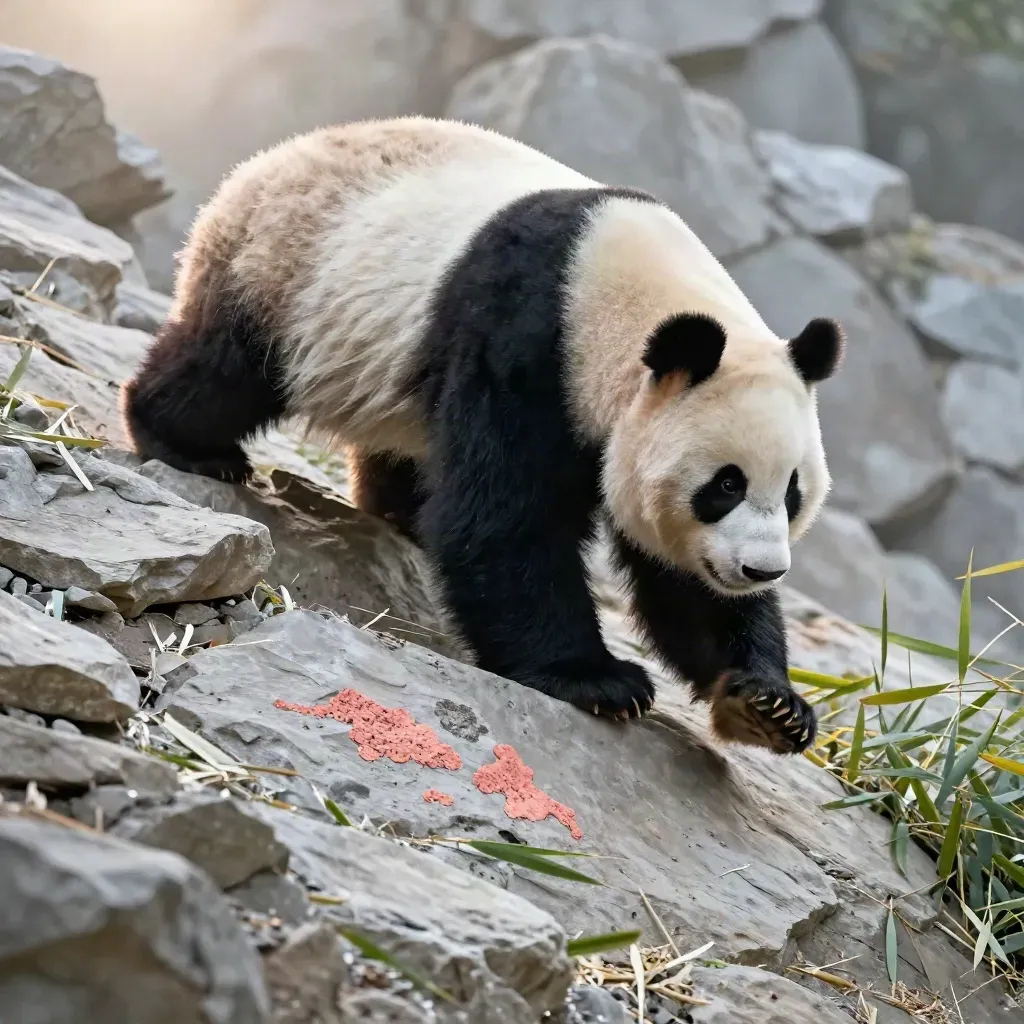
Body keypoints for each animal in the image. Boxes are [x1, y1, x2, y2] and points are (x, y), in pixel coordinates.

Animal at [121, 116, 844, 755]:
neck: (624, 291)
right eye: (724, 485)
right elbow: (502, 518)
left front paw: (768, 704)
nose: (761, 569)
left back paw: (398, 512)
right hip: (286, 272)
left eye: (793, 493)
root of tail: (267, 160)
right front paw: (598, 681)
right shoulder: (526, 339)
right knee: (226, 371)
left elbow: (681, 582)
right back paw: (189, 446)